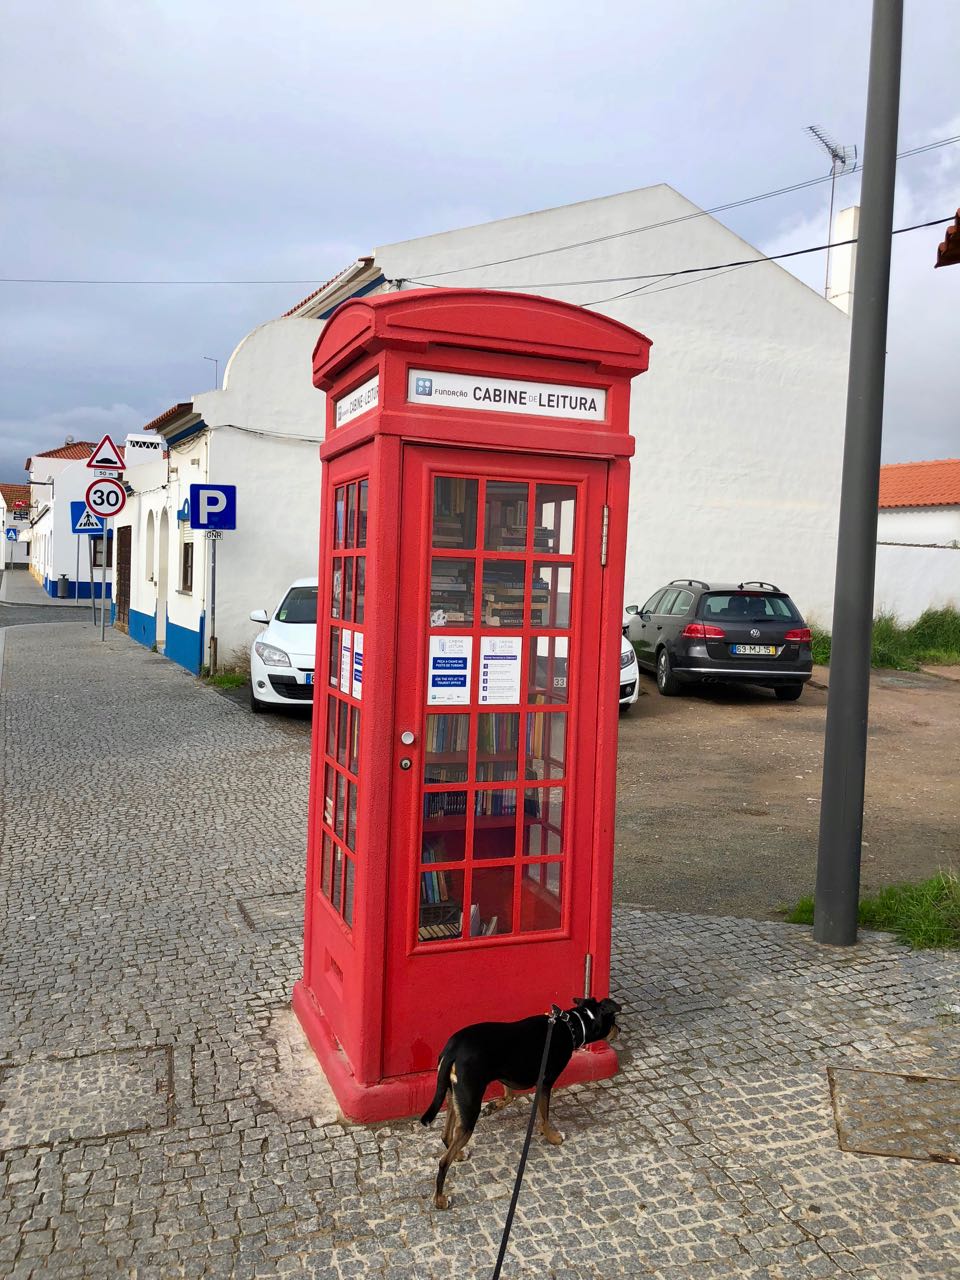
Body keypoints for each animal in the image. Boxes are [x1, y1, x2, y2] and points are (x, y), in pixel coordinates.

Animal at [422, 998, 624, 1208]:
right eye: (613, 1020)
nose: (620, 1030)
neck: (570, 1026)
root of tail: (451, 1050)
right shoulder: (545, 1083)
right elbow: (544, 1116)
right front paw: (552, 1136)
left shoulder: (508, 1076)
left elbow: (510, 1097)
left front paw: (492, 1107)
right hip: (469, 1105)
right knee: (443, 1161)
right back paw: (440, 1199)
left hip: (454, 1097)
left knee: (446, 1135)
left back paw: (459, 1154)